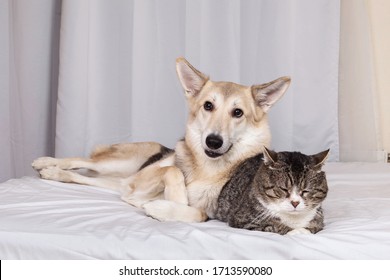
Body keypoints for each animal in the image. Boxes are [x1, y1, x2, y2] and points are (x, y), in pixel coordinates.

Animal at [32, 57, 290, 223]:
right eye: (208, 106)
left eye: (238, 113)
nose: (213, 141)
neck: (206, 170)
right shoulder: (141, 179)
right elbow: (173, 171)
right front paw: (177, 198)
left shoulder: (205, 211)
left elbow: (198, 214)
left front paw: (165, 208)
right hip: (121, 164)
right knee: (82, 160)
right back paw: (45, 163)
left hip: (116, 180)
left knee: (85, 177)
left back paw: (55, 173)